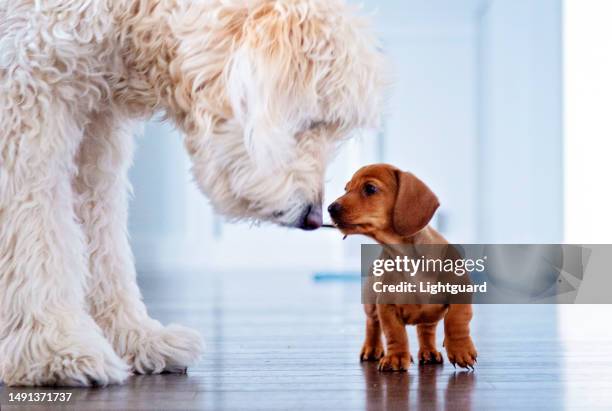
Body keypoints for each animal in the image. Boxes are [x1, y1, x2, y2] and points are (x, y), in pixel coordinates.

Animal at [0, 0, 382, 386]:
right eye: (312, 121)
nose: (314, 217)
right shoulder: (24, 93)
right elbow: (34, 231)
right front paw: (53, 351)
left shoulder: (96, 130)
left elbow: (102, 244)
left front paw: (134, 338)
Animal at [330, 165, 478, 374]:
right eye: (346, 189)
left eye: (370, 188)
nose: (330, 208)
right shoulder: (386, 306)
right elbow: (395, 333)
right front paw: (396, 357)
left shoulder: (461, 293)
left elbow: (457, 320)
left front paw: (460, 350)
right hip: (370, 304)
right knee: (372, 325)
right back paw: (372, 348)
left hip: (429, 316)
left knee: (426, 331)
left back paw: (429, 352)